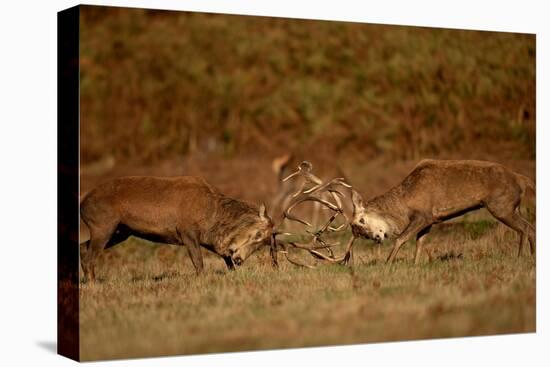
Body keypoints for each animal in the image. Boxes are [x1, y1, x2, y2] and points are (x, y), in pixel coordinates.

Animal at [79, 175, 274, 282]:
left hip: (121, 231)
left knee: (83, 247)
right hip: (103, 224)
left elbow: (225, 258)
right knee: (89, 257)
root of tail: (82, 204)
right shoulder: (186, 230)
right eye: (258, 234)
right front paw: (202, 280)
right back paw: (93, 285)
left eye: (264, 243)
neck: (211, 217)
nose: (240, 259)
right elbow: (198, 261)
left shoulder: (205, 238)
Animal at [352, 158, 536, 264]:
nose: (374, 237)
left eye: (361, 221)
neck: (404, 204)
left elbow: (401, 238)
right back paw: (532, 255)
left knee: (524, 228)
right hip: (513, 207)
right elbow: (420, 242)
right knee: (531, 227)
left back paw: (520, 257)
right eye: (356, 230)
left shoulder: (423, 215)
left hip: (501, 206)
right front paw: (415, 264)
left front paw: (388, 262)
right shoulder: (431, 220)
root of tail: (522, 180)